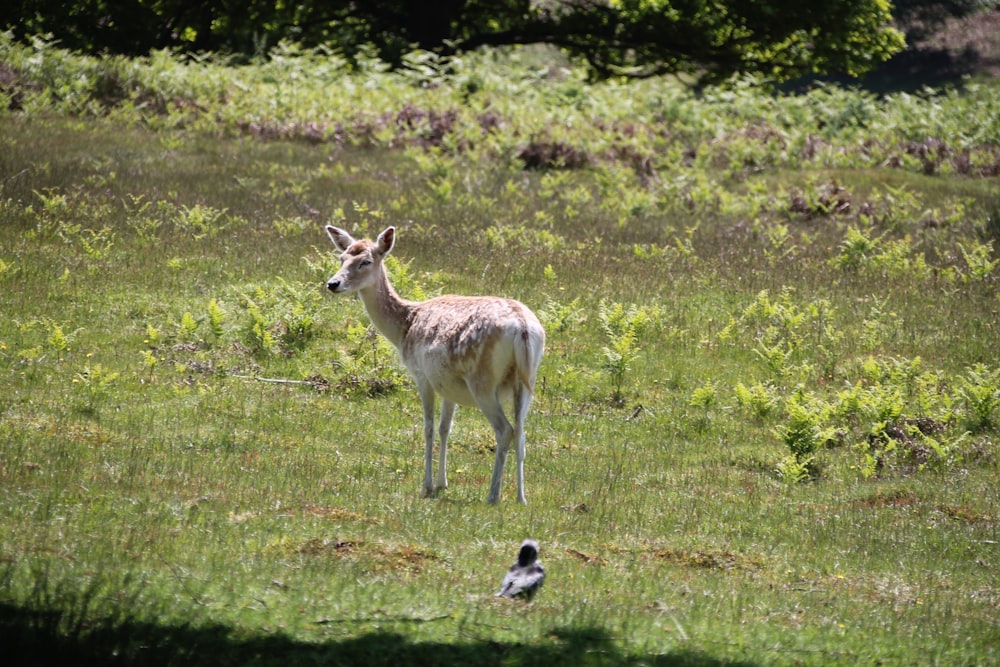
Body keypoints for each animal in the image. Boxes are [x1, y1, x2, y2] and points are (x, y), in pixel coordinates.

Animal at [324, 226, 548, 506]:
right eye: (342, 258)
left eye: (366, 261)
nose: (333, 284)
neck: (404, 328)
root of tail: (523, 327)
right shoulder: (448, 386)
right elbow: (445, 429)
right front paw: (443, 482)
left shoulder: (422, 375)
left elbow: (429, 428)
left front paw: (427, 485)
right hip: (528, 381)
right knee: (521, 432)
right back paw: (521, 498)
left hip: (482, 381)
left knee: (504, 429)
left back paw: (493, 495)